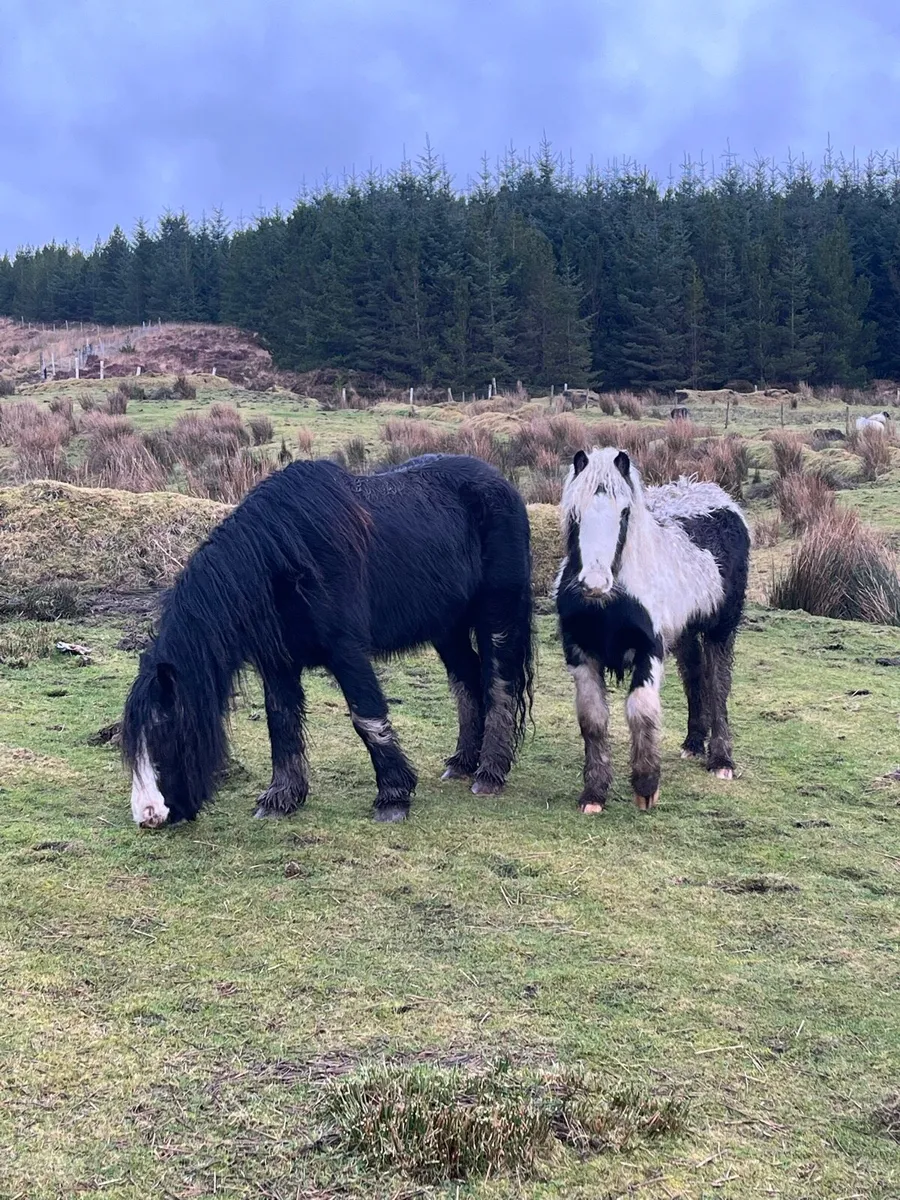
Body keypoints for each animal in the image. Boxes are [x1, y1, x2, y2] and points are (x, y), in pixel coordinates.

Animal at [123, 454, 534, 828]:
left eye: (165, 731)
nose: (149, 817)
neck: (284, 558)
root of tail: (503, 485)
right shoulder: (278, 665)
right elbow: (281, 722)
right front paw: (281, 798)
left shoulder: (346, 652)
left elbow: (367, 718)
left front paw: (393, 797)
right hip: (446, 628)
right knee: (467, 683)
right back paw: (463, 763)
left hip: (496, 616)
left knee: (499, 685)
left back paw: (489, 774)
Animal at [555, 447, 749, 814]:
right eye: (575, 513)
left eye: (624, 512)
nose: (595, 583)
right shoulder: (581, 654)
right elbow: (592, 719)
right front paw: (594, 793)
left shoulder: (650, 650)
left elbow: (641, 711)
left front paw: (646, 787)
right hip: (686, 633)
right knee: (694, 675)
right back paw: (693, 742)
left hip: (720, 628)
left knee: (718, 683)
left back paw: (721, 760)